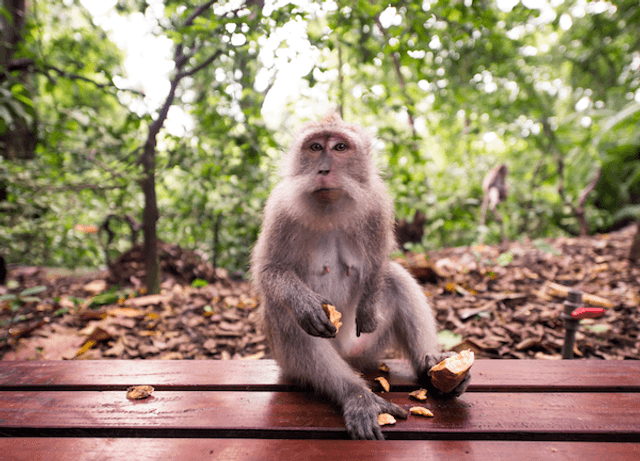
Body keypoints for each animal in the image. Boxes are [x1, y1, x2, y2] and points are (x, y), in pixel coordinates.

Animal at [251, 113, 470, 440]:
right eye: (315, 147)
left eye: (340, 147)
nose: (324, 169)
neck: (330, 205)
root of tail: (349, 356)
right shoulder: (279, 209)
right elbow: (270, 271)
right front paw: (305, 305)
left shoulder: (378, 203)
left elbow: (379, 262)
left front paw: (367, 307)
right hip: (297, 365)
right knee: (284, 314)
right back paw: (356, 394)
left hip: (368, 347)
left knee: (395, 279)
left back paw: (431, 368)